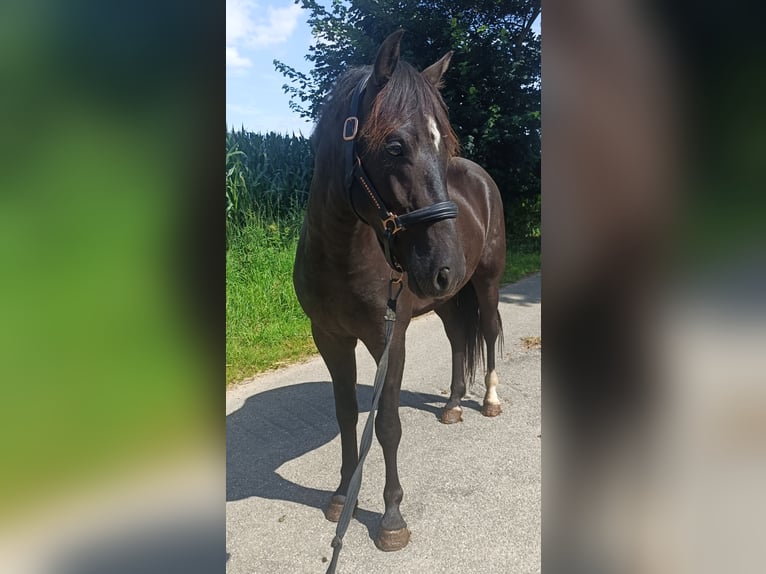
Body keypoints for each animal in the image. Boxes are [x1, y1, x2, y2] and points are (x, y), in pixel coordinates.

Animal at [296, 30, 510, 552]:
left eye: (444, 145)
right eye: (394, 145)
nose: (446, 265)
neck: (341, 256)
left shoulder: (388, 339)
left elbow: (388, 425)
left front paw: (391, 517)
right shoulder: (329, 338)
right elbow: (347, 414)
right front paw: (342, 498)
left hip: (485, 284)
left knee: (488, 332)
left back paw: (489, 401)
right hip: (449, 299)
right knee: (458, 340)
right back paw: (452, 406)